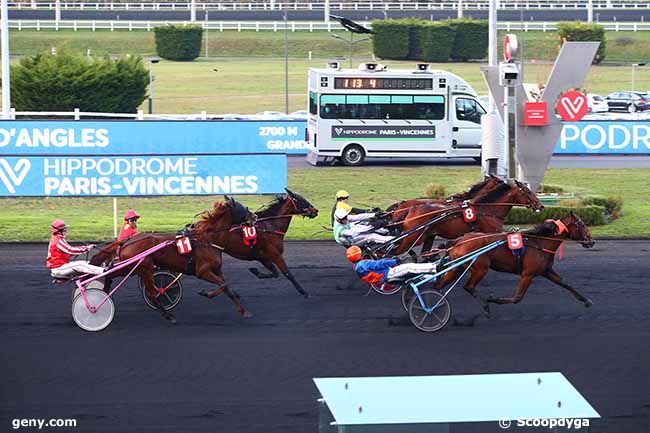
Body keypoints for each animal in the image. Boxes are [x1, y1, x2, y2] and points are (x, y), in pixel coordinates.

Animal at [114, 197, 251, 322]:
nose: (253, 216)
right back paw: (169, 316)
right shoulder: (202, 272)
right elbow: (223, 285)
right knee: (152, 294)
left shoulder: (216, 269)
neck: (208, 239)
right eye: (243, 207)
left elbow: (225, 286)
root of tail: (126, 243)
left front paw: (241, 309)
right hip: (145, 268)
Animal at [388, 180, 544, 255]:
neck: (488, 210)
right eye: (527, 191)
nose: (541, 206)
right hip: (413, 237)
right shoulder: (491, 233)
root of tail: (408, 209)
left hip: (428, 235)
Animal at [436, 212, 592, 316]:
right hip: (480, 268)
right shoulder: (527, 274)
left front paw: (587, 301)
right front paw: (494, 299)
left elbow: (566, 283)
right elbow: (517, 297)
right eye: (581, 224)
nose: (591, 241)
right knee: (468, 286)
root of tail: (458, 241)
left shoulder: (546, 271)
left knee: (439, 286)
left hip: (456, 268)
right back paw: (485, 306)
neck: (540, 243)